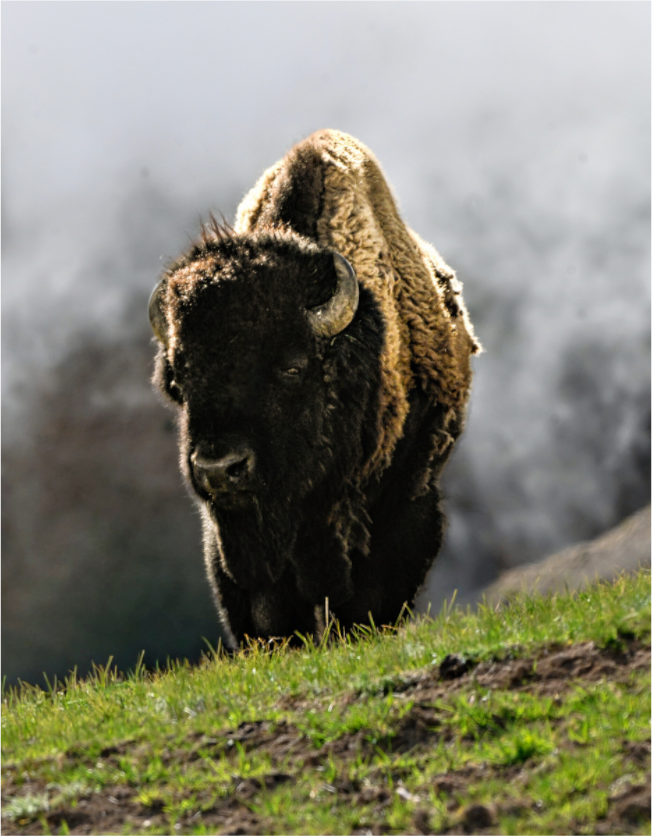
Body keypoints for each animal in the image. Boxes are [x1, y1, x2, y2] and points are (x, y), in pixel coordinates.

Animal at [149, 130, 480, 646]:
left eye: (291, 368)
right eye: (180, 379)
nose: (219, 469)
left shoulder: (398, 503)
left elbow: (369, 597)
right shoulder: (238, 543)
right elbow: (269, 612)